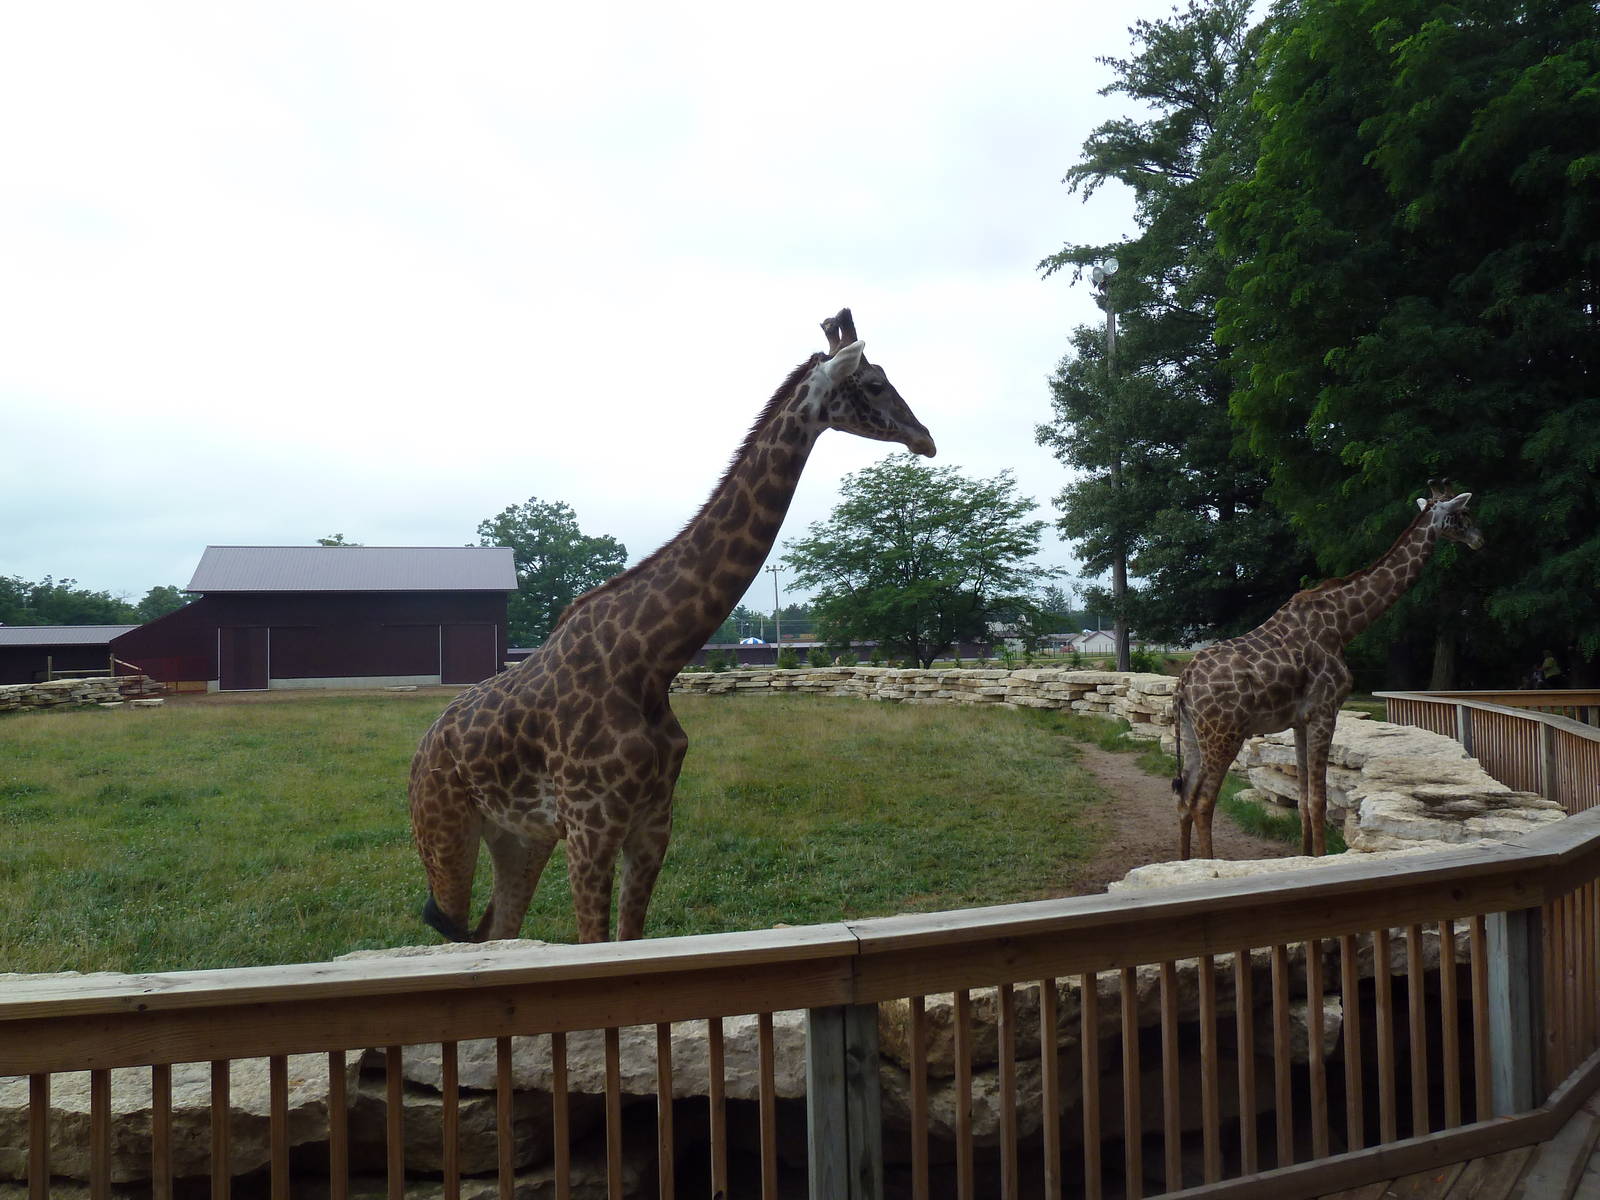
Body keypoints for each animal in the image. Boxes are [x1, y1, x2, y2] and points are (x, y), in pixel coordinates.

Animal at [409, 309, 935, 943]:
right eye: (876, 384)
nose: (926, 438)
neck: (650, 660)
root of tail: (423, 747)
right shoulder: (591, 830)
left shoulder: (652, 825)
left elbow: (630, 938)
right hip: (445, 830)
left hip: (519, 835)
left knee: (497, 930)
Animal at [1171, 481, 1484, 860]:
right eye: (1463, 513)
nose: (1480, 538)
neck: (1344, 624)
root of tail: (1184, 684)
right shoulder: (1325, 710)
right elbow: (1319, 800)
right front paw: (1319, 856)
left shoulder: (1299, 720)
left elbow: (1303, 798)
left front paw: (1306, 854)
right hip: (1224, 734)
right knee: (1203, 803)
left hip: (1192, 734)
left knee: (1184, 798)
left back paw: (1185, 863)